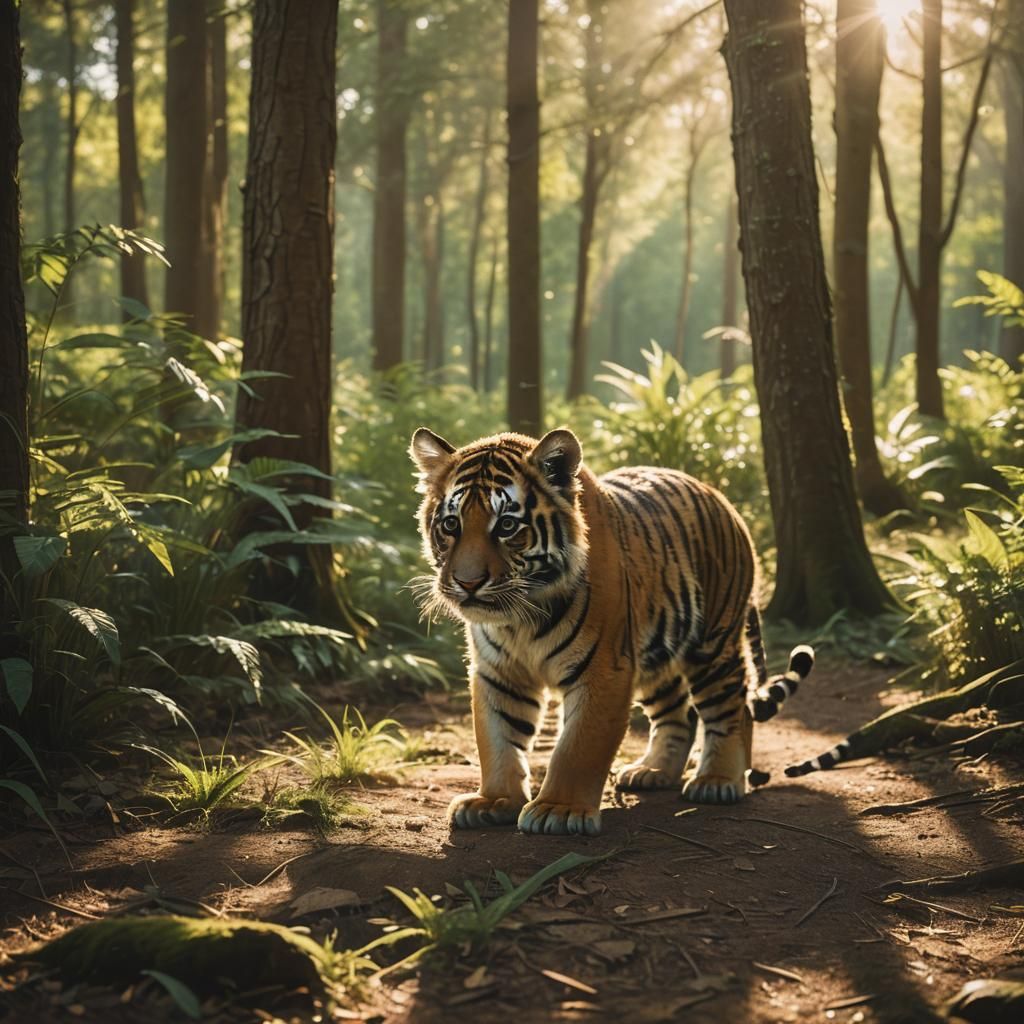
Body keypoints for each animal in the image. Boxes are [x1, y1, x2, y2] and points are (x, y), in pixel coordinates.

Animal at [409, 426, 814, 836]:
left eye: (507, 525)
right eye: (451, 525)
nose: (467, 583)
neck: (519, 618)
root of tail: (720, 497)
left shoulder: (603, 669)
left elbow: (578, 747)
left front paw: (558, 810)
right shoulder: (499, 672)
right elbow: (497, 738)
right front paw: (494, 800)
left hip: (714, 644)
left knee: (732, 706)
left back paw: (718, 781)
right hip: (656, 658)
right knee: (679, 713)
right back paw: (652, 771)